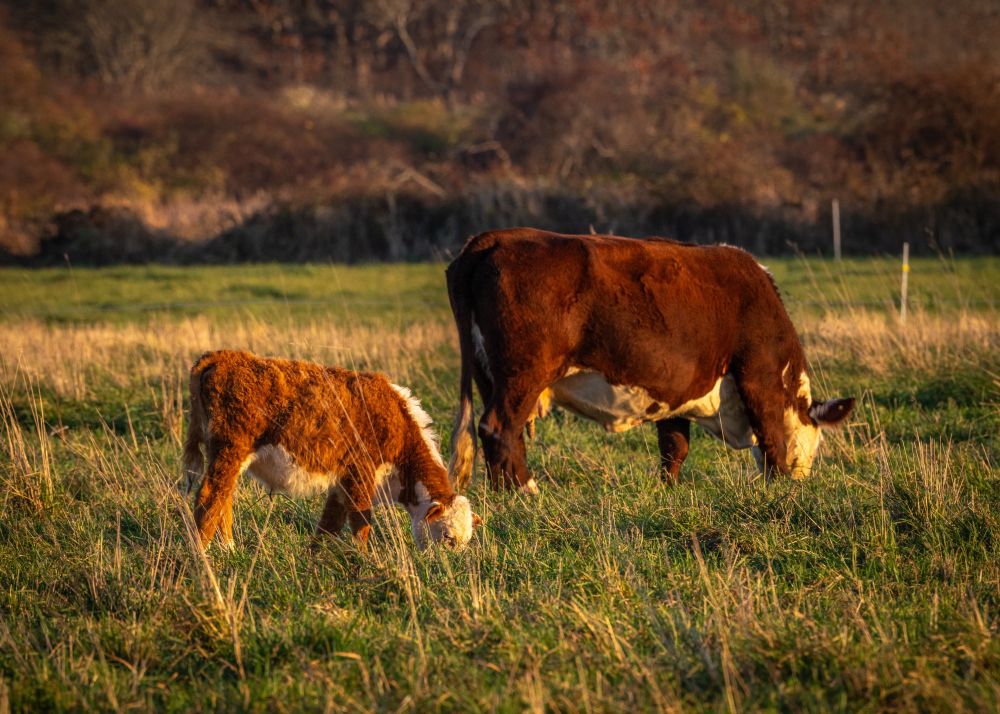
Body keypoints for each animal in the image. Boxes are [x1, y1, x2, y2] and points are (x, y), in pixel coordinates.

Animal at [183, 350, 481, 550]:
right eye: (448, 538)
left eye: (467, 541)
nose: (447, 571)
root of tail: (225, 356)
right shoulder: (360, 474)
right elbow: (361, 524)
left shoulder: (341, 483)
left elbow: (329, 525)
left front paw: (315, 558)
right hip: (230, 448)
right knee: (209, 497)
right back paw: (201, 554)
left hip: (226, 455)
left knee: (224, 496)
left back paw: (228, 549)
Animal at [445, 229, 855, 492]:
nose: (801, 482)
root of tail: (492, 238)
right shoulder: (759, 375)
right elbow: (772, 437)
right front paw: (778, 487)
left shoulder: (675, 387)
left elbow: (675, 445)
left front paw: (667, 490)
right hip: (524, 372)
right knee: (498, 428)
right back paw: (524, 493)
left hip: (489, 374)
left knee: (509, 433)